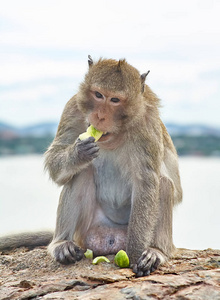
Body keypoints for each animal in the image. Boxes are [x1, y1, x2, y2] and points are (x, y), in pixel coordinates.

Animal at [0, 56, 182, 276]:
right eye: (98, 95)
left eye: (114, 100)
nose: (100, 116)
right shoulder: (72, 109)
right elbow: (55, 159)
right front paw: (78, 154)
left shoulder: (146, 126)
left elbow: (146, 183)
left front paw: (135, 255)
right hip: (86, 230)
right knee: (80, 174)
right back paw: (61, 244)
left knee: (163, 184)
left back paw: (156, 251)